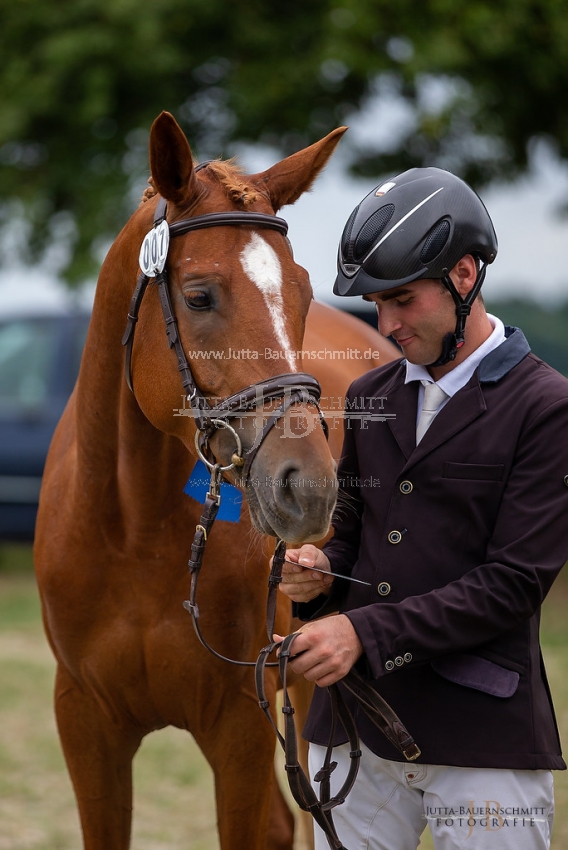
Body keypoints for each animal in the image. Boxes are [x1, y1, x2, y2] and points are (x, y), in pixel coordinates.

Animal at [34, 112, 400, 848]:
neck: (134, 532)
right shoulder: (85, 722)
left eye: (301, 292)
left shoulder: (239, 723)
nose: (308, 488)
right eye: (199, 295)